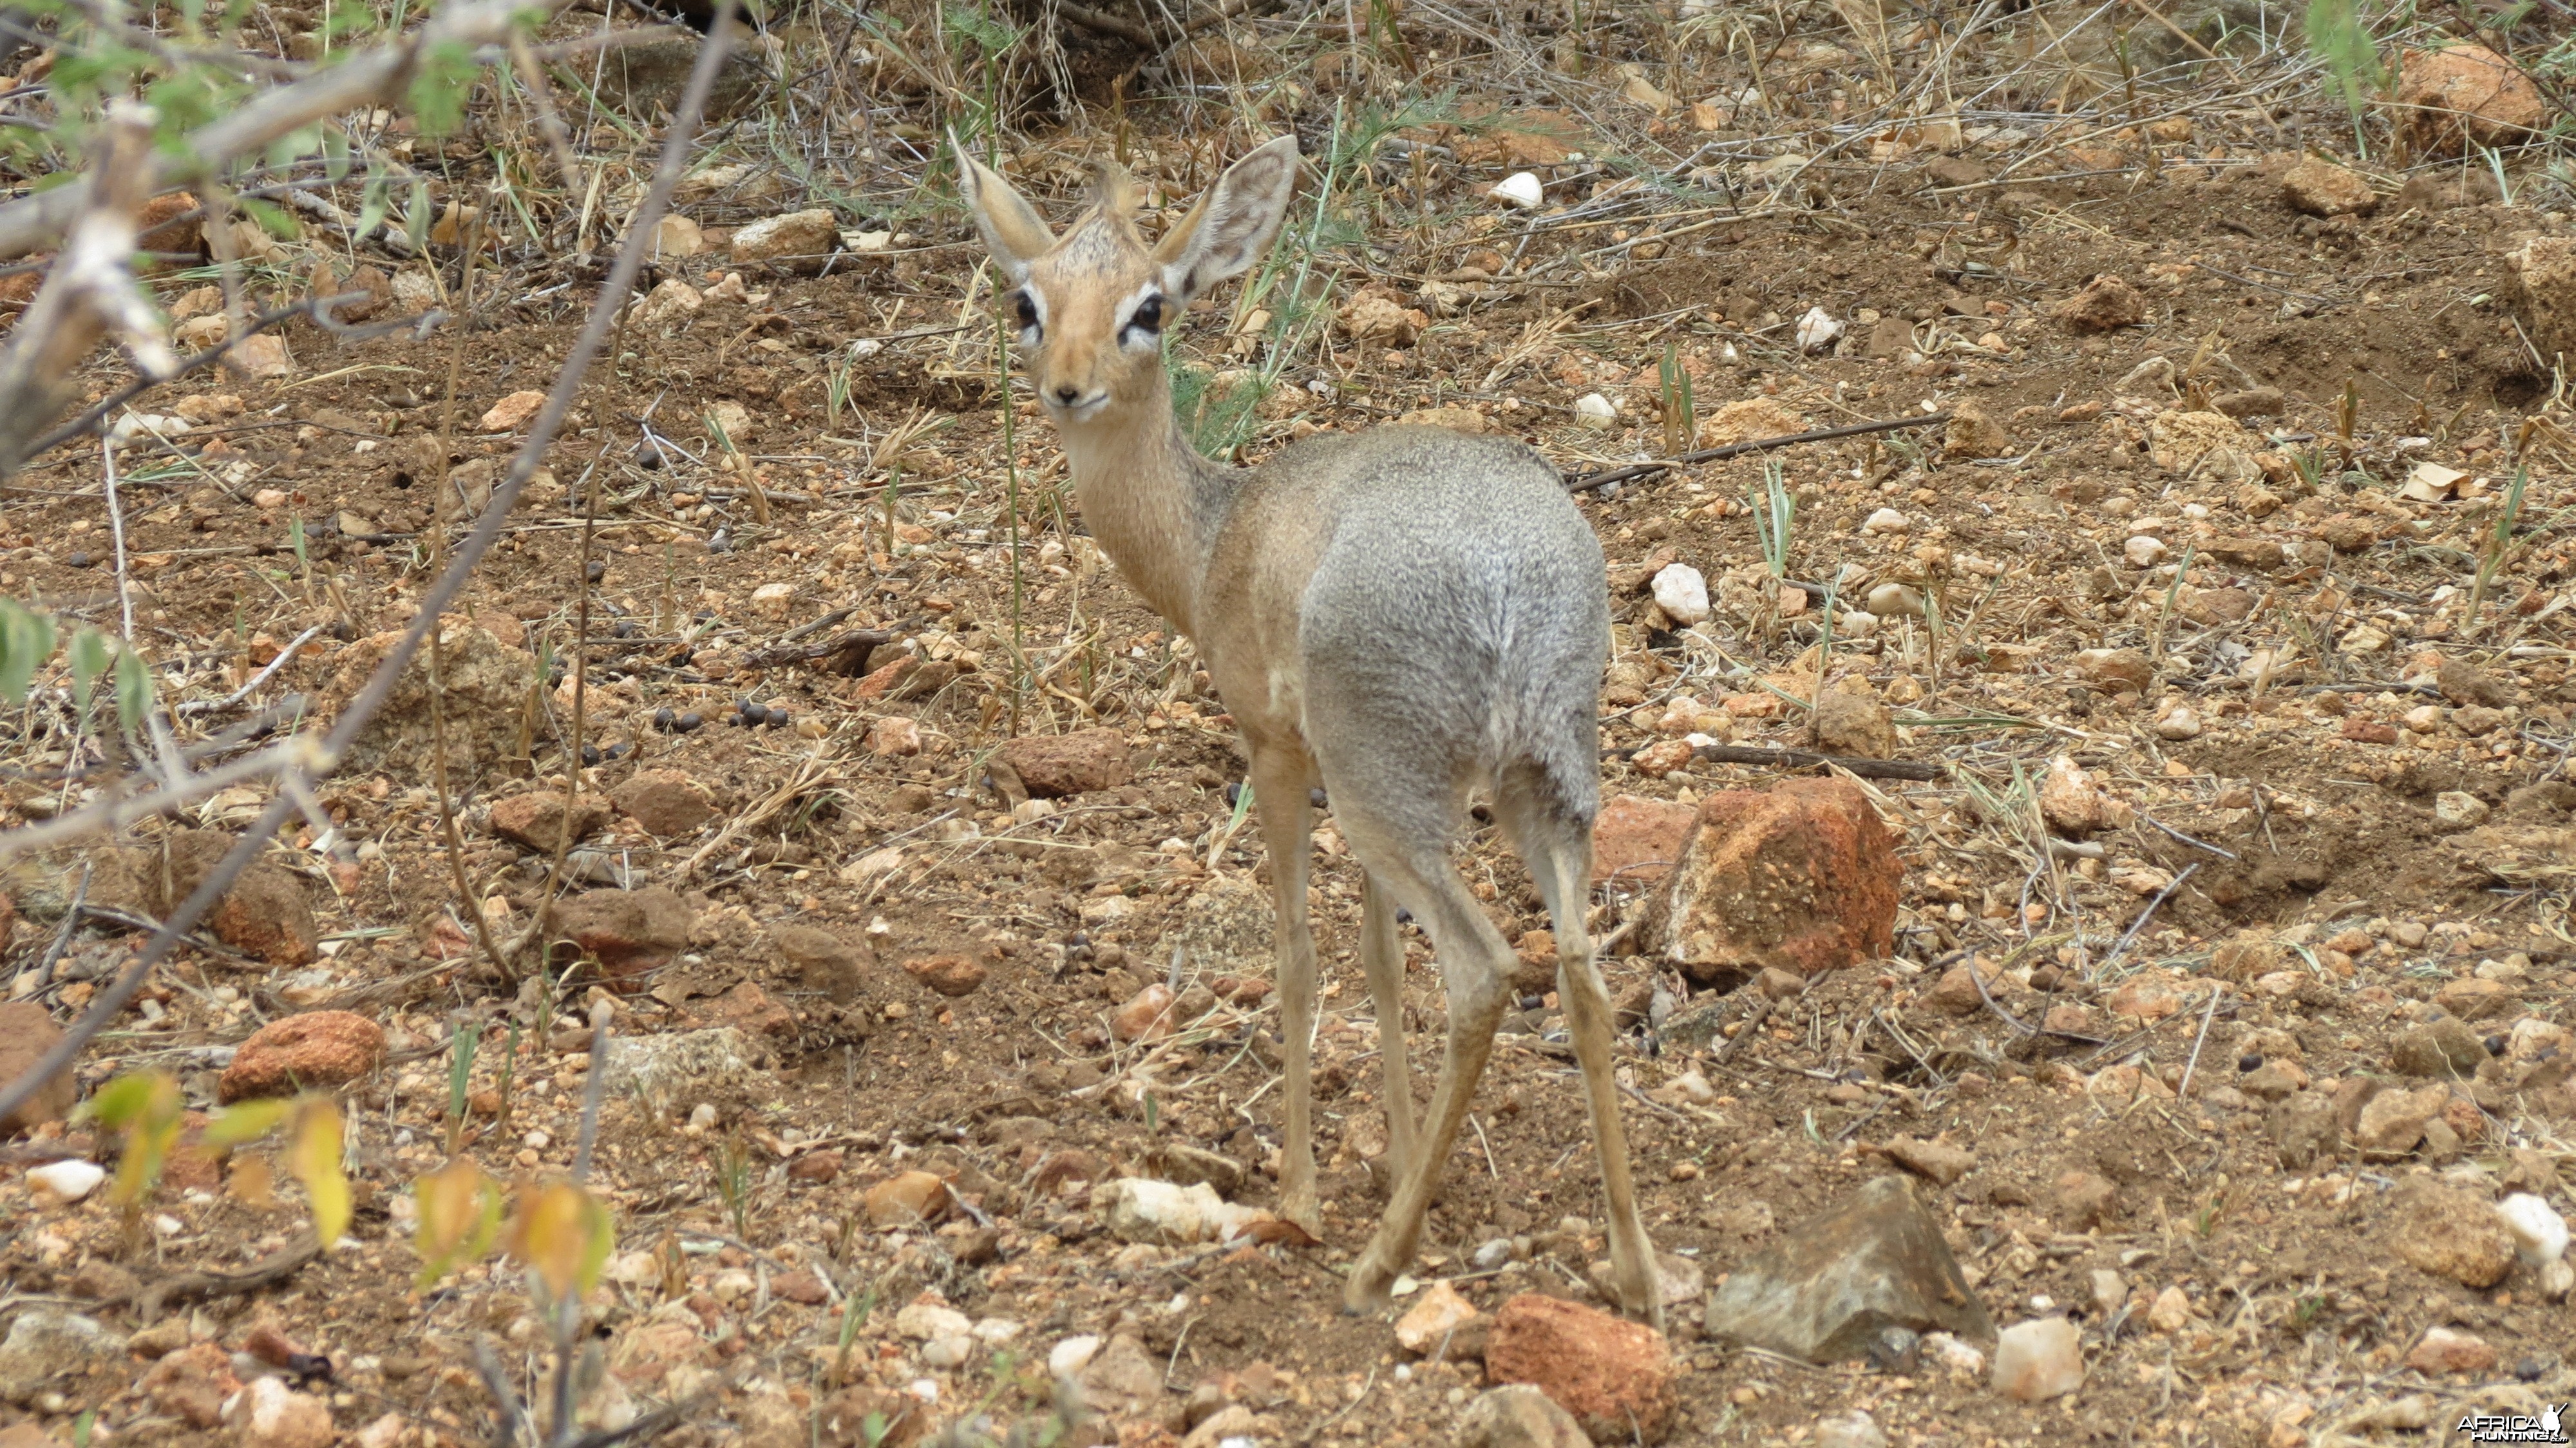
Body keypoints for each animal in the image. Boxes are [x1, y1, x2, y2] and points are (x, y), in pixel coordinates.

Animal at [958, 135, 1659, 1319]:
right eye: (1027, 299)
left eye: (1150, 305)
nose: (1070, 384)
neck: (1210, 540)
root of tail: (1507, 583)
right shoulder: (1345, 779)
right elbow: (1379, 960)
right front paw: (1408, 1153)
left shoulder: (1280, 753)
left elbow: (1296, 954)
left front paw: (1302, 1194)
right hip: (1538, 782)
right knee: (1578, 968)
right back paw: (1635, 1269)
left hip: (1403, 796)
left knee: (1484, 970)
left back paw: (1378, 1264)